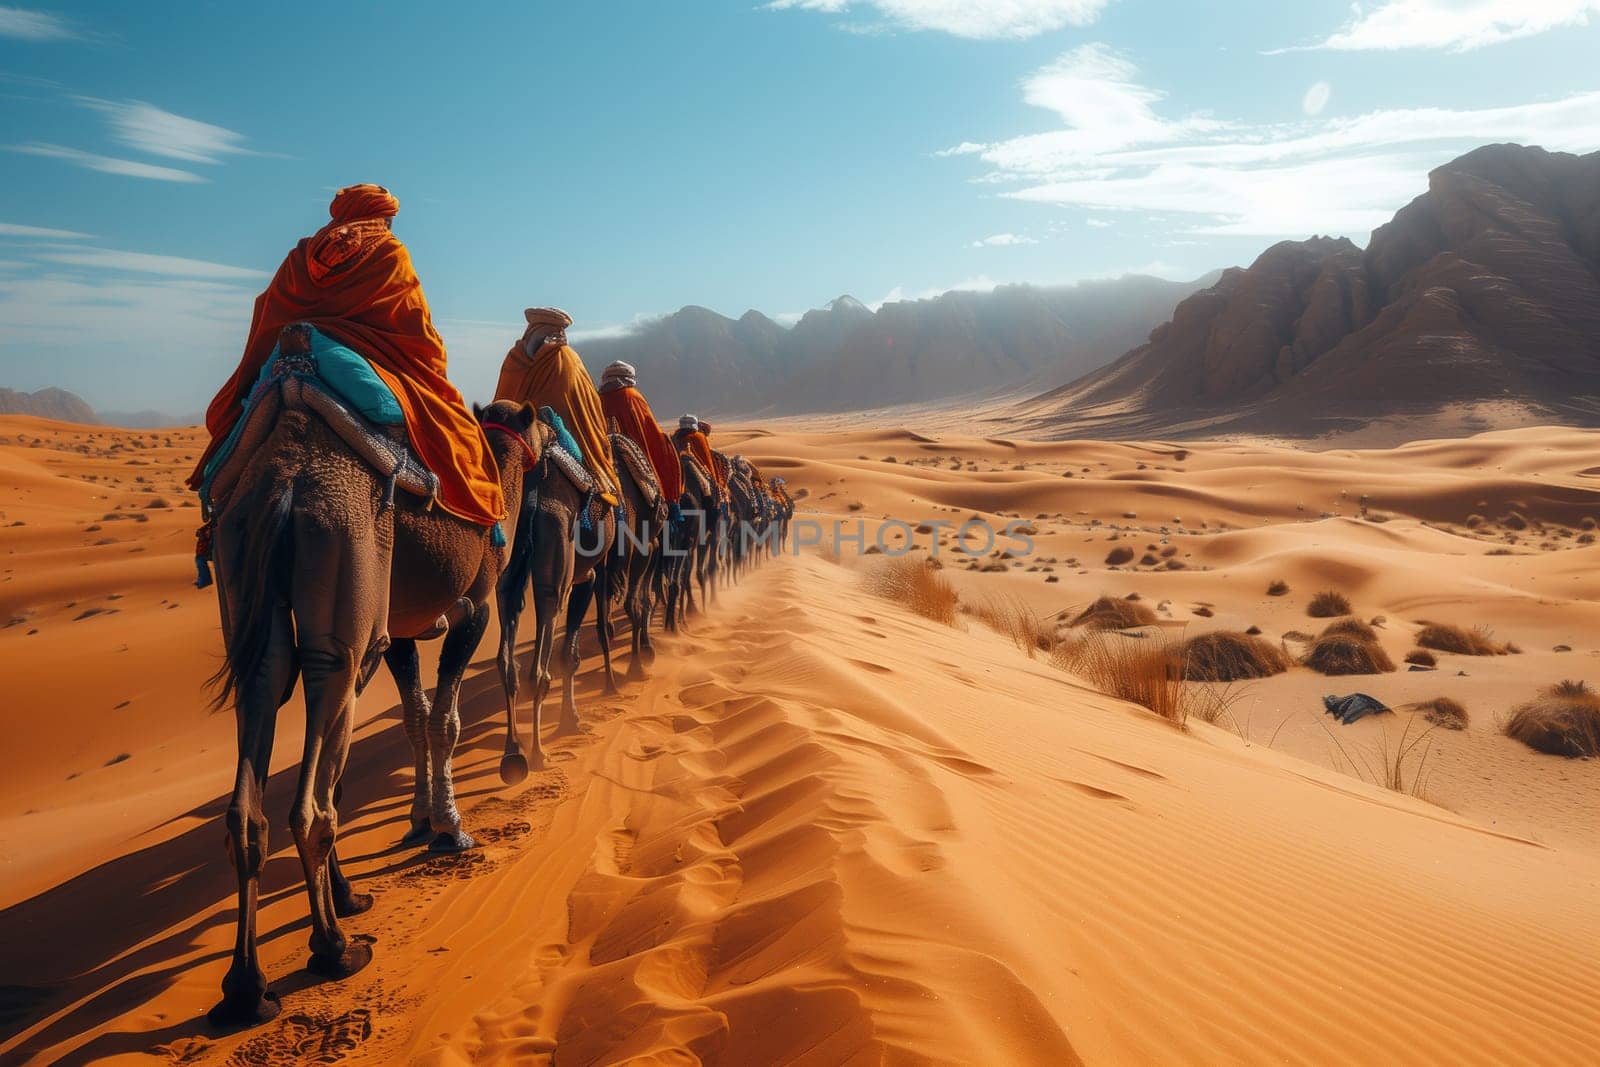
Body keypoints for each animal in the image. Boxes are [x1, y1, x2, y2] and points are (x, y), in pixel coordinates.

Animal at [201, 326, 531, 1023]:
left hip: (246, 580)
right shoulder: (473, 607)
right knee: (314, 792)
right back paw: (333, 946)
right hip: (346, 570)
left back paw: (249, 984)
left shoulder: (402, 628)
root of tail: (286, 483)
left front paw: (419, 821)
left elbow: (410, 719)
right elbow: (443, 719)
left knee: (262, 736)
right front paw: (448, 829)